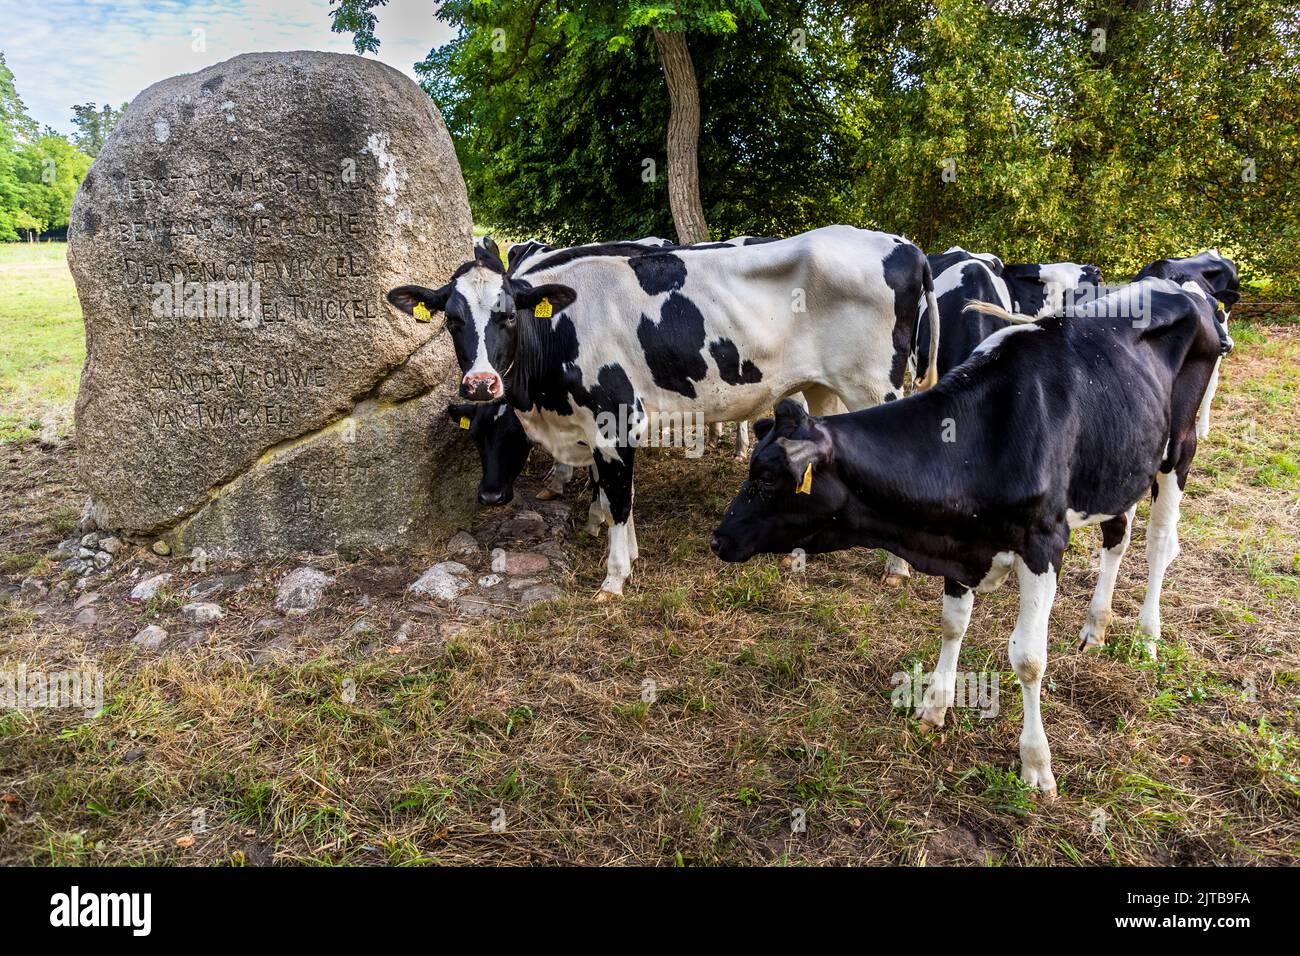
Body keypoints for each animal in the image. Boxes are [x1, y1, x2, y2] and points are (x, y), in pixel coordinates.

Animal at [389, 225, 941, 599]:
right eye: (451, 320)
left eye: (507, 315)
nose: (481, 382)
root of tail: (906, 246)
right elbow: (619, 494)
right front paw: (629, 552)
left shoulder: (613, 417)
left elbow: (617, 495)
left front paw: (615, 576)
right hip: (823, 387)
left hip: (876, 385)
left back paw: (896, 568)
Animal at [709, 277, 1223, 797]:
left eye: (767, 476)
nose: (718, 539)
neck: (986, 437)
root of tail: (1179, 286)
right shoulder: (956, 537)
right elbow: (952, 624)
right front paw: (935, 705)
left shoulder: (1044, 543)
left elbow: (1029, 658)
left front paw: (1036, 764)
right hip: (1122, 461)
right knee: (1117, 536)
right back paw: (1095, 628)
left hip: (1179, 448)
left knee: (1159, 543)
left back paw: (1146, 637)